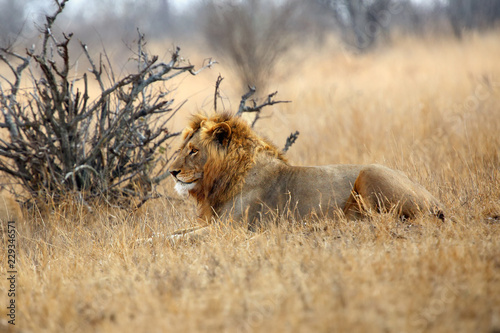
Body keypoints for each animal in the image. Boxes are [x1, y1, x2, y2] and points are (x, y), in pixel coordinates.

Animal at [169, 113, 446, 240]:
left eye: (193, 150)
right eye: (182, 148)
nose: (172, 172)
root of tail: (436, 201)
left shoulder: (230, 228)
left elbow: (180, 238)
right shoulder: (216, 222)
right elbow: (176, 232)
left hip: (371, 172)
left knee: (381, 221)